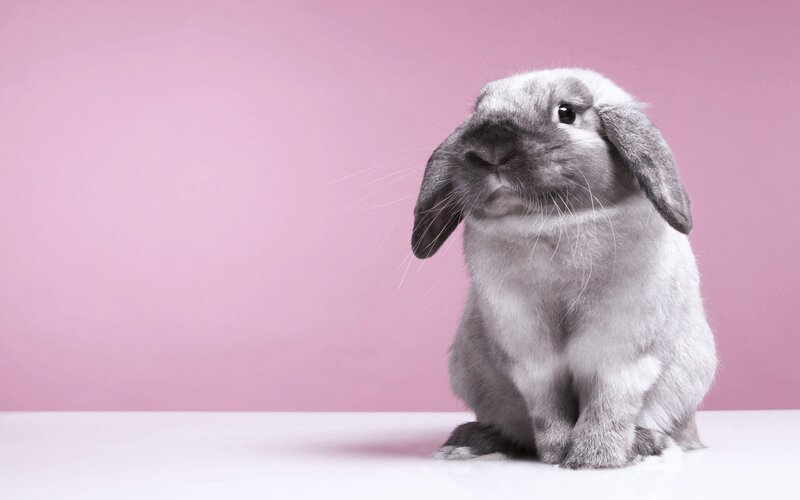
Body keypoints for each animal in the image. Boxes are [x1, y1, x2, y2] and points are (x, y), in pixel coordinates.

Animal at [411, 68, 717, 469]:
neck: (553, 225)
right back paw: (468, 442)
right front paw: (556, 454)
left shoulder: (621, 351)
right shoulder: (529, 355)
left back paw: (645, 445)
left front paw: (594, 459)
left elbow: (609, 402)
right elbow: (548, 406)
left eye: (566, 112)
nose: (490, 149)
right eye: (478, 111)